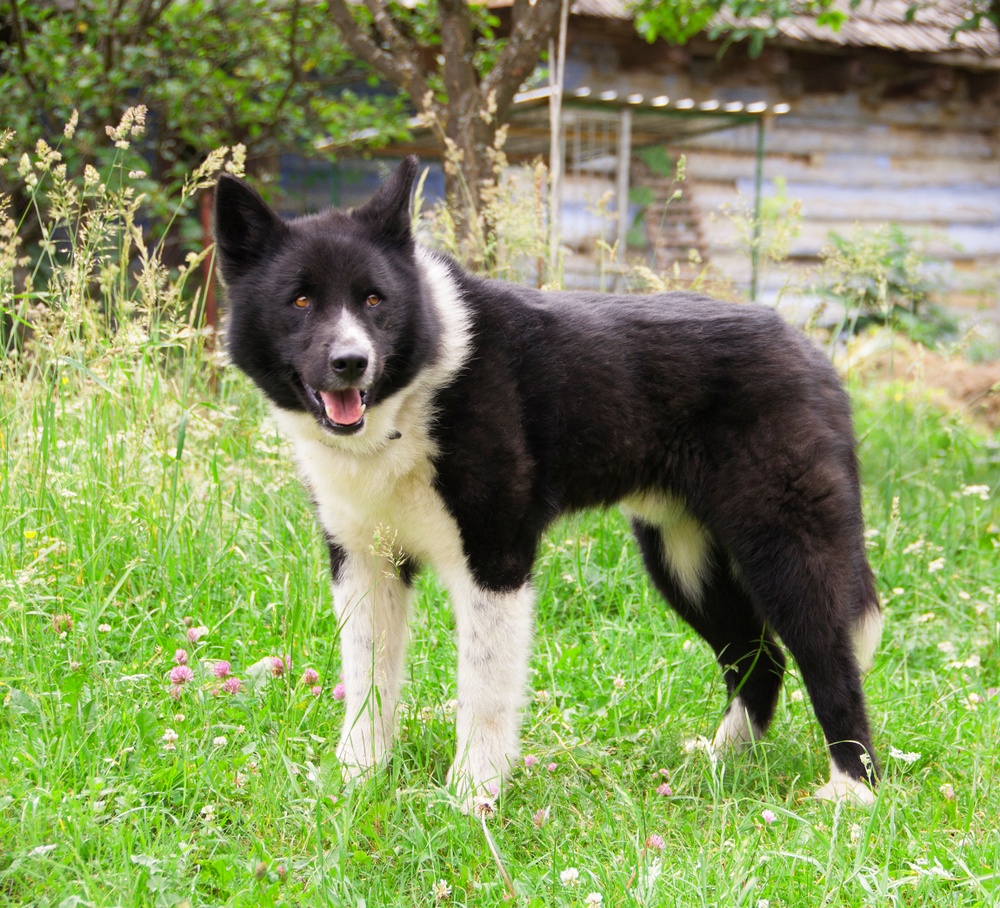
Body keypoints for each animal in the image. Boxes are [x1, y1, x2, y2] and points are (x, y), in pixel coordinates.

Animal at [213, 158, 884, 808]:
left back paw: (853, 790)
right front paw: (357, 780)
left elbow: (483, 692)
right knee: (759, 657)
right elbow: (367, 682)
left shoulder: (495, 560)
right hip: (683, 558)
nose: (351, 363)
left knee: (828, 656)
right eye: (301, 301)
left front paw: (472, 797)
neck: (413, 396)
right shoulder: (364, 562)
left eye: (375, 299)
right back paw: (719, 762)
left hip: (783, 548)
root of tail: (811, 354)